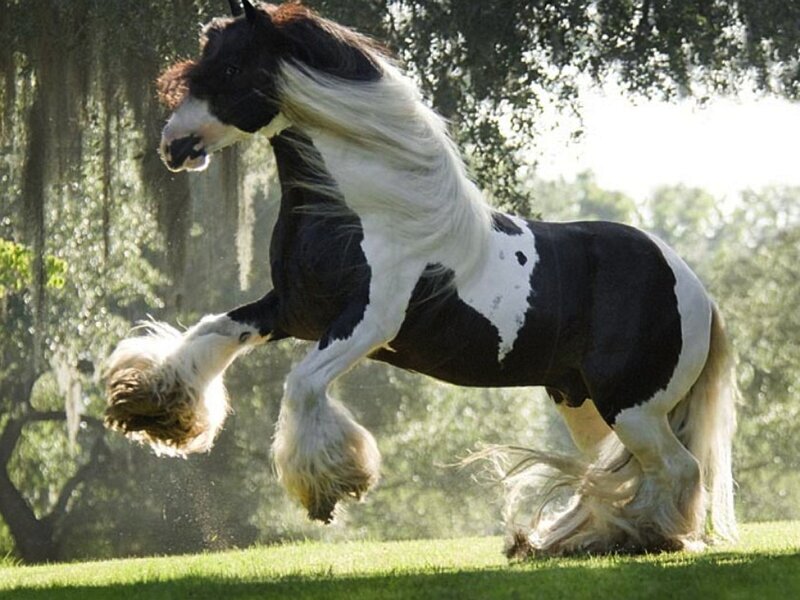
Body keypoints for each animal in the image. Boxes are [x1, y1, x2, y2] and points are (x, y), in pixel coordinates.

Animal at [104, 0, 738, 556]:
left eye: (232, 67)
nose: (172, 146)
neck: (369, 207)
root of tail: (697, 291)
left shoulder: (367, 322)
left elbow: (302, 383)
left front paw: (332, 488)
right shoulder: (290, 309)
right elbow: (210, 332)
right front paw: (150, 407)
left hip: (632, 407)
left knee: (679, 469)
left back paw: (648, 537)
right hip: (585, 404)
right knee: (631, 471)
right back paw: (595, 539)